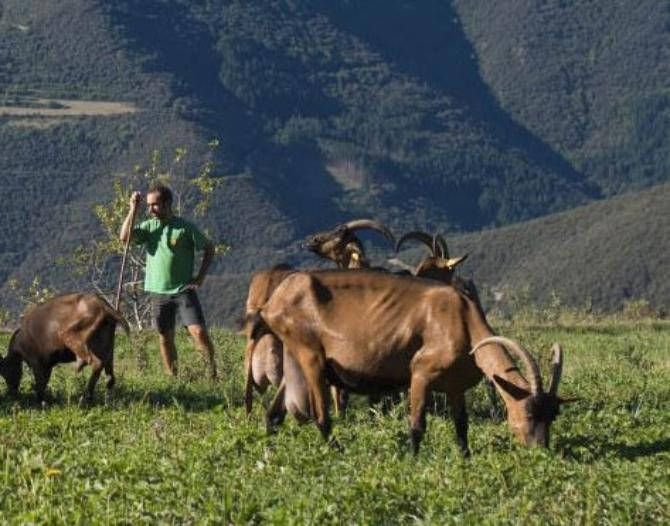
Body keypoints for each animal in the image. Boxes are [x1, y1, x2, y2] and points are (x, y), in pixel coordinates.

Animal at [0, 294, 130, 406]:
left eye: (5, 371)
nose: (12, 393)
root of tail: (104, 307)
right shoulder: (47, 365)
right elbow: (44, 382)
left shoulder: (36, 361)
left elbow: (39, 384)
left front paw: (40, 403)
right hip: (108, 346)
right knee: (110, 376)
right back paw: (107, 401)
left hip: (71, 335)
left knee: (96, 363)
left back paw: (84, 400)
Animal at [258, 270, 572, 456]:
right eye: (528, 412)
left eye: (553, 414)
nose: (541, 452)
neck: (462, 320)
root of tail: (275, 301)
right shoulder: (421, 373)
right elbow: (417, 424)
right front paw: (413, 460)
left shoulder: (455, 386)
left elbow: (462, 425)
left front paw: (466, 458)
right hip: (310, 354)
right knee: (321, 416)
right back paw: (339, 451)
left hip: (294, 354)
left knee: (274, 412)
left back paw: (269, 448)